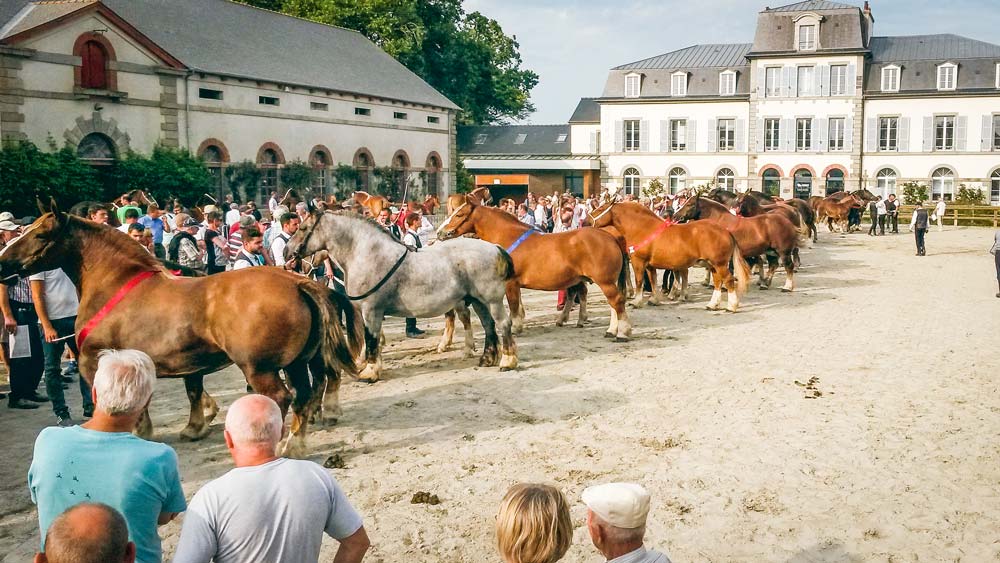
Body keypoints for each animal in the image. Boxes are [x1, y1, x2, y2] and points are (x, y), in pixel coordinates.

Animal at [0, 203, 360, 458]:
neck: (115, 286)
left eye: (41, 234)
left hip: (261, 368)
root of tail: (297, 281)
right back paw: (294, 445)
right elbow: (190, 392)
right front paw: (194, 425)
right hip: (296, 362)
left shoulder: (98, 362)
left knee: (282, 398)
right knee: (304, 395)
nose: (3, 262)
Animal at [282, 213, 516, 384]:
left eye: (303, 228)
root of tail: (495, 248)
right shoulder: (368, 313)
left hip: (492, 301)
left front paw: (370, 372)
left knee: (503, 324)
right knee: (488, 325)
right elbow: (372, 339)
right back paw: (487, 359)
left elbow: (371, 339)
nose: (286, 252)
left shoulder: (371, 310)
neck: (369, 255)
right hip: (478, 300)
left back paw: (507, 361)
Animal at [438, 198, 632, 340]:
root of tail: (610, 237)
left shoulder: (510, 283)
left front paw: (516, 328)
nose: (440, 232)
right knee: (609, 303)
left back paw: (622, 332)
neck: (508, 238)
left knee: (616, 301)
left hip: (605, 281)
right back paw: (609, 330)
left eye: (459, 214)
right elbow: (518, 306)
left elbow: (514, 307)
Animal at [584, 200, 752, 310]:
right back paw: (712, 304)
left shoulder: (638, 262)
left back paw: (732, 306)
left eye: (600, 208)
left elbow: (639, 281)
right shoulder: (650, 265)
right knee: (717, 282)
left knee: (729, 280)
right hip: (713, 265)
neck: (642, 228)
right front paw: (654, 299)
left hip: (720, 264)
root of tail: (725, 231)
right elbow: (652, 281)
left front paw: (636, 301)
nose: (585, 222)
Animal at [672, 193, 804, 290]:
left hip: (783, 252)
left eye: (689, 204)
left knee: (789, 266)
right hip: (770, 251)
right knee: (773, 265)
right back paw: (765, 284)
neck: (719, 222)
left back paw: (787, 287)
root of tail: (789, 222)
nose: (675, 216)